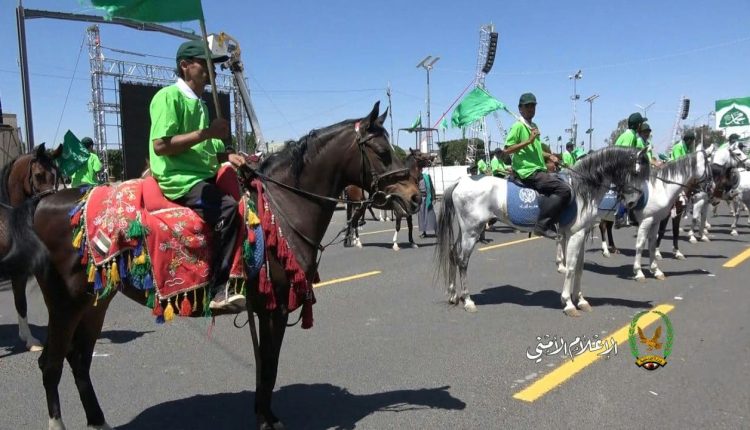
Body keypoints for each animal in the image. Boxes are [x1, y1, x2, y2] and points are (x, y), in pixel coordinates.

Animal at [23, 103, 424, 430]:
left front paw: (264, 413)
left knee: (79, 361)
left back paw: (97, 420)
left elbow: (265, 365)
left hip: (95, 301)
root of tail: (44, 203)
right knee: (51, 364)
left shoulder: (265, 307)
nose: (415, 197)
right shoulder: (275, 308)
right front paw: (266, 419)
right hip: (65, 303)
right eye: (383, 152)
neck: (281, 206)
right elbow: (269, 365)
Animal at [434, 147, 652, 316]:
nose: (633, 202)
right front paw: (569, 303)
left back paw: (453, 295)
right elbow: (570, 268)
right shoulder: (574, 235)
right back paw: (468, 301)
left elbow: (579, 268)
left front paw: (581, 300)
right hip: (472, 231)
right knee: (462, 261)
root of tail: (460, 182)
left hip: (466, 231)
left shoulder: (580, 234)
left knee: (453, 254)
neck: (582, 188)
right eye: (636, 173)